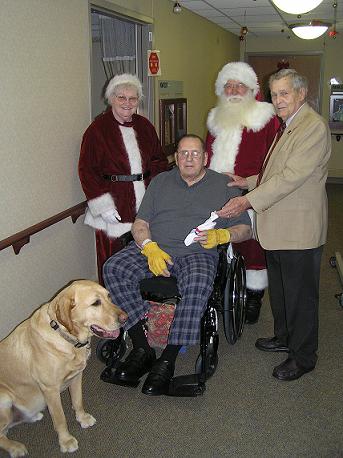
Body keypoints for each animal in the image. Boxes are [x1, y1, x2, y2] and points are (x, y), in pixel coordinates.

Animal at [0, 280, 127, 456]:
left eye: (109, 296)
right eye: (96, 303)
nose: (126, 318)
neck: (67, 338)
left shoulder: (77, 376)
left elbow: (78, 401)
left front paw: (82, 418)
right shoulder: (50, 390)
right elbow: (60, 419)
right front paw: (66, 441)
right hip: (4, 399)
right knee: (1, 435)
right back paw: (15, 447)